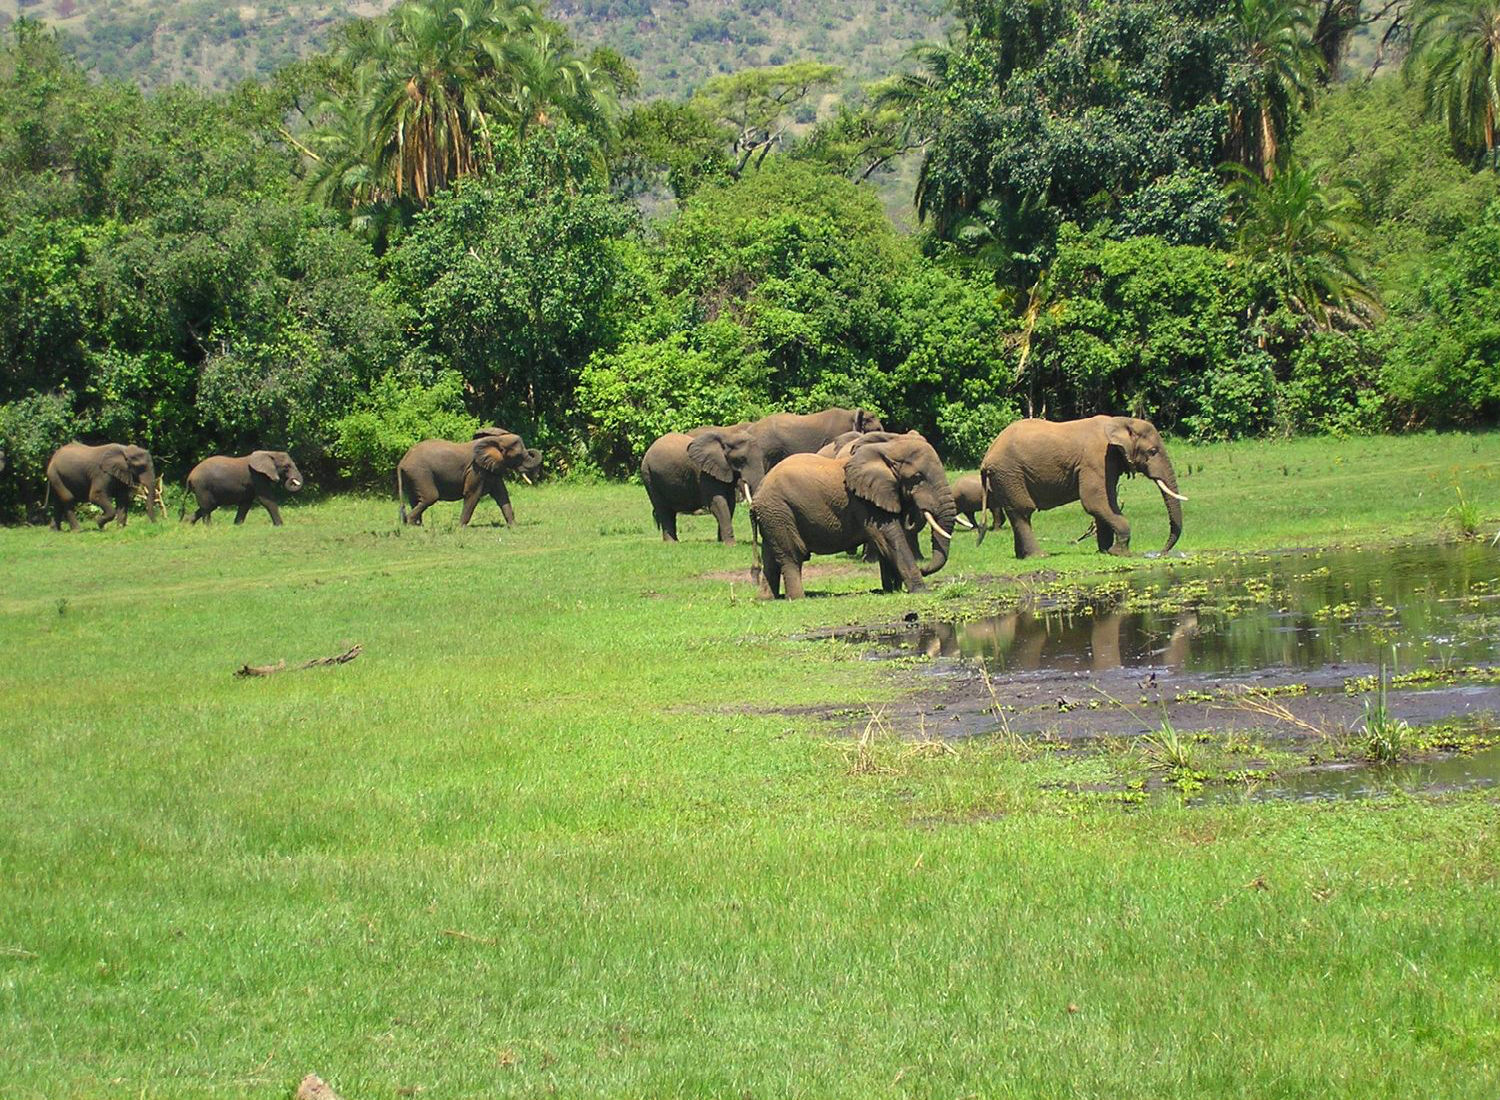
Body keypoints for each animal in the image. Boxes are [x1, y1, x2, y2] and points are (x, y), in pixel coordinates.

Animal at [396, 426, 543, 525]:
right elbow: (472, 494)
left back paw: (416, 525)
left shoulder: (490, 468)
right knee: (430, 497)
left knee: (415, 499)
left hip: (412, 475)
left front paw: (513, 526)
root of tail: (402, 461)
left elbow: (502, 494)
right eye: (518, 455)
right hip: (420, 473)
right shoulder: (475, 469)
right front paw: (460, 528)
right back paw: (411, 524)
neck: (494, 440)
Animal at [747, 429, 954, 600]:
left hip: (772, 515)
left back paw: (766, 599)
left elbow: (888, 541)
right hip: (779, 510)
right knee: (791, 554)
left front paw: (892, 591)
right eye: (917, 478)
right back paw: (798, 598)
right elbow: (890, 538)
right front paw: (921, 591)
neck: (887, 451)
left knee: (771, 555)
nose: (924, 568)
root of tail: (757, 496)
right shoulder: (864, 501)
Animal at [978, 414, 1188, 558]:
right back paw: (1039, 556)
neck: (1121, 421)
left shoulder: (1108, 462)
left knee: (1015, 513)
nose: (1160, 553)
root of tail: (986, 458)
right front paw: (1120, 553)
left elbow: (1105, 504)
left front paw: (1105, 551)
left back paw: (1023, 556)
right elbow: (1096, 502)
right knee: (1023, 511)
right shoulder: (1096, 460)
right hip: (1010, 473)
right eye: (1153, 451)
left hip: (1004, 477)